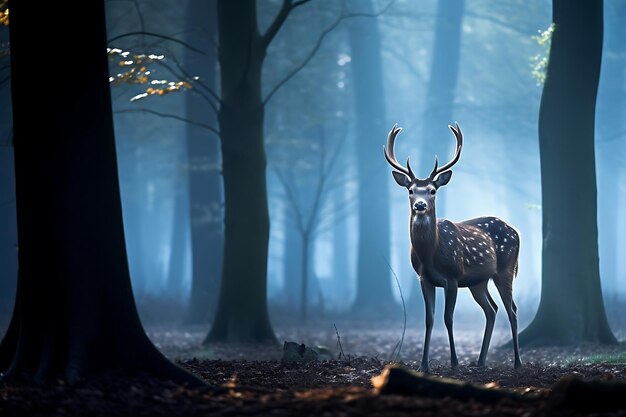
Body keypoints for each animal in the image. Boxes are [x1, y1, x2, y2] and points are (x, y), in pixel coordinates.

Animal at [380, 122, 520, 370]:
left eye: (432, 190)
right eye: (410, 190)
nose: (420, 205)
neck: (430, 255)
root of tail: (516, 231)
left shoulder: (453, 276)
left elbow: (448, 318)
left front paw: (454, 362)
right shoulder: (424, 278)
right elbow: (429, 320)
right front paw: (423, 365)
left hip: (505, 269)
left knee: (511, 310)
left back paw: (517, 363)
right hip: (478, 281)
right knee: (492, 309)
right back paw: (480, 361)